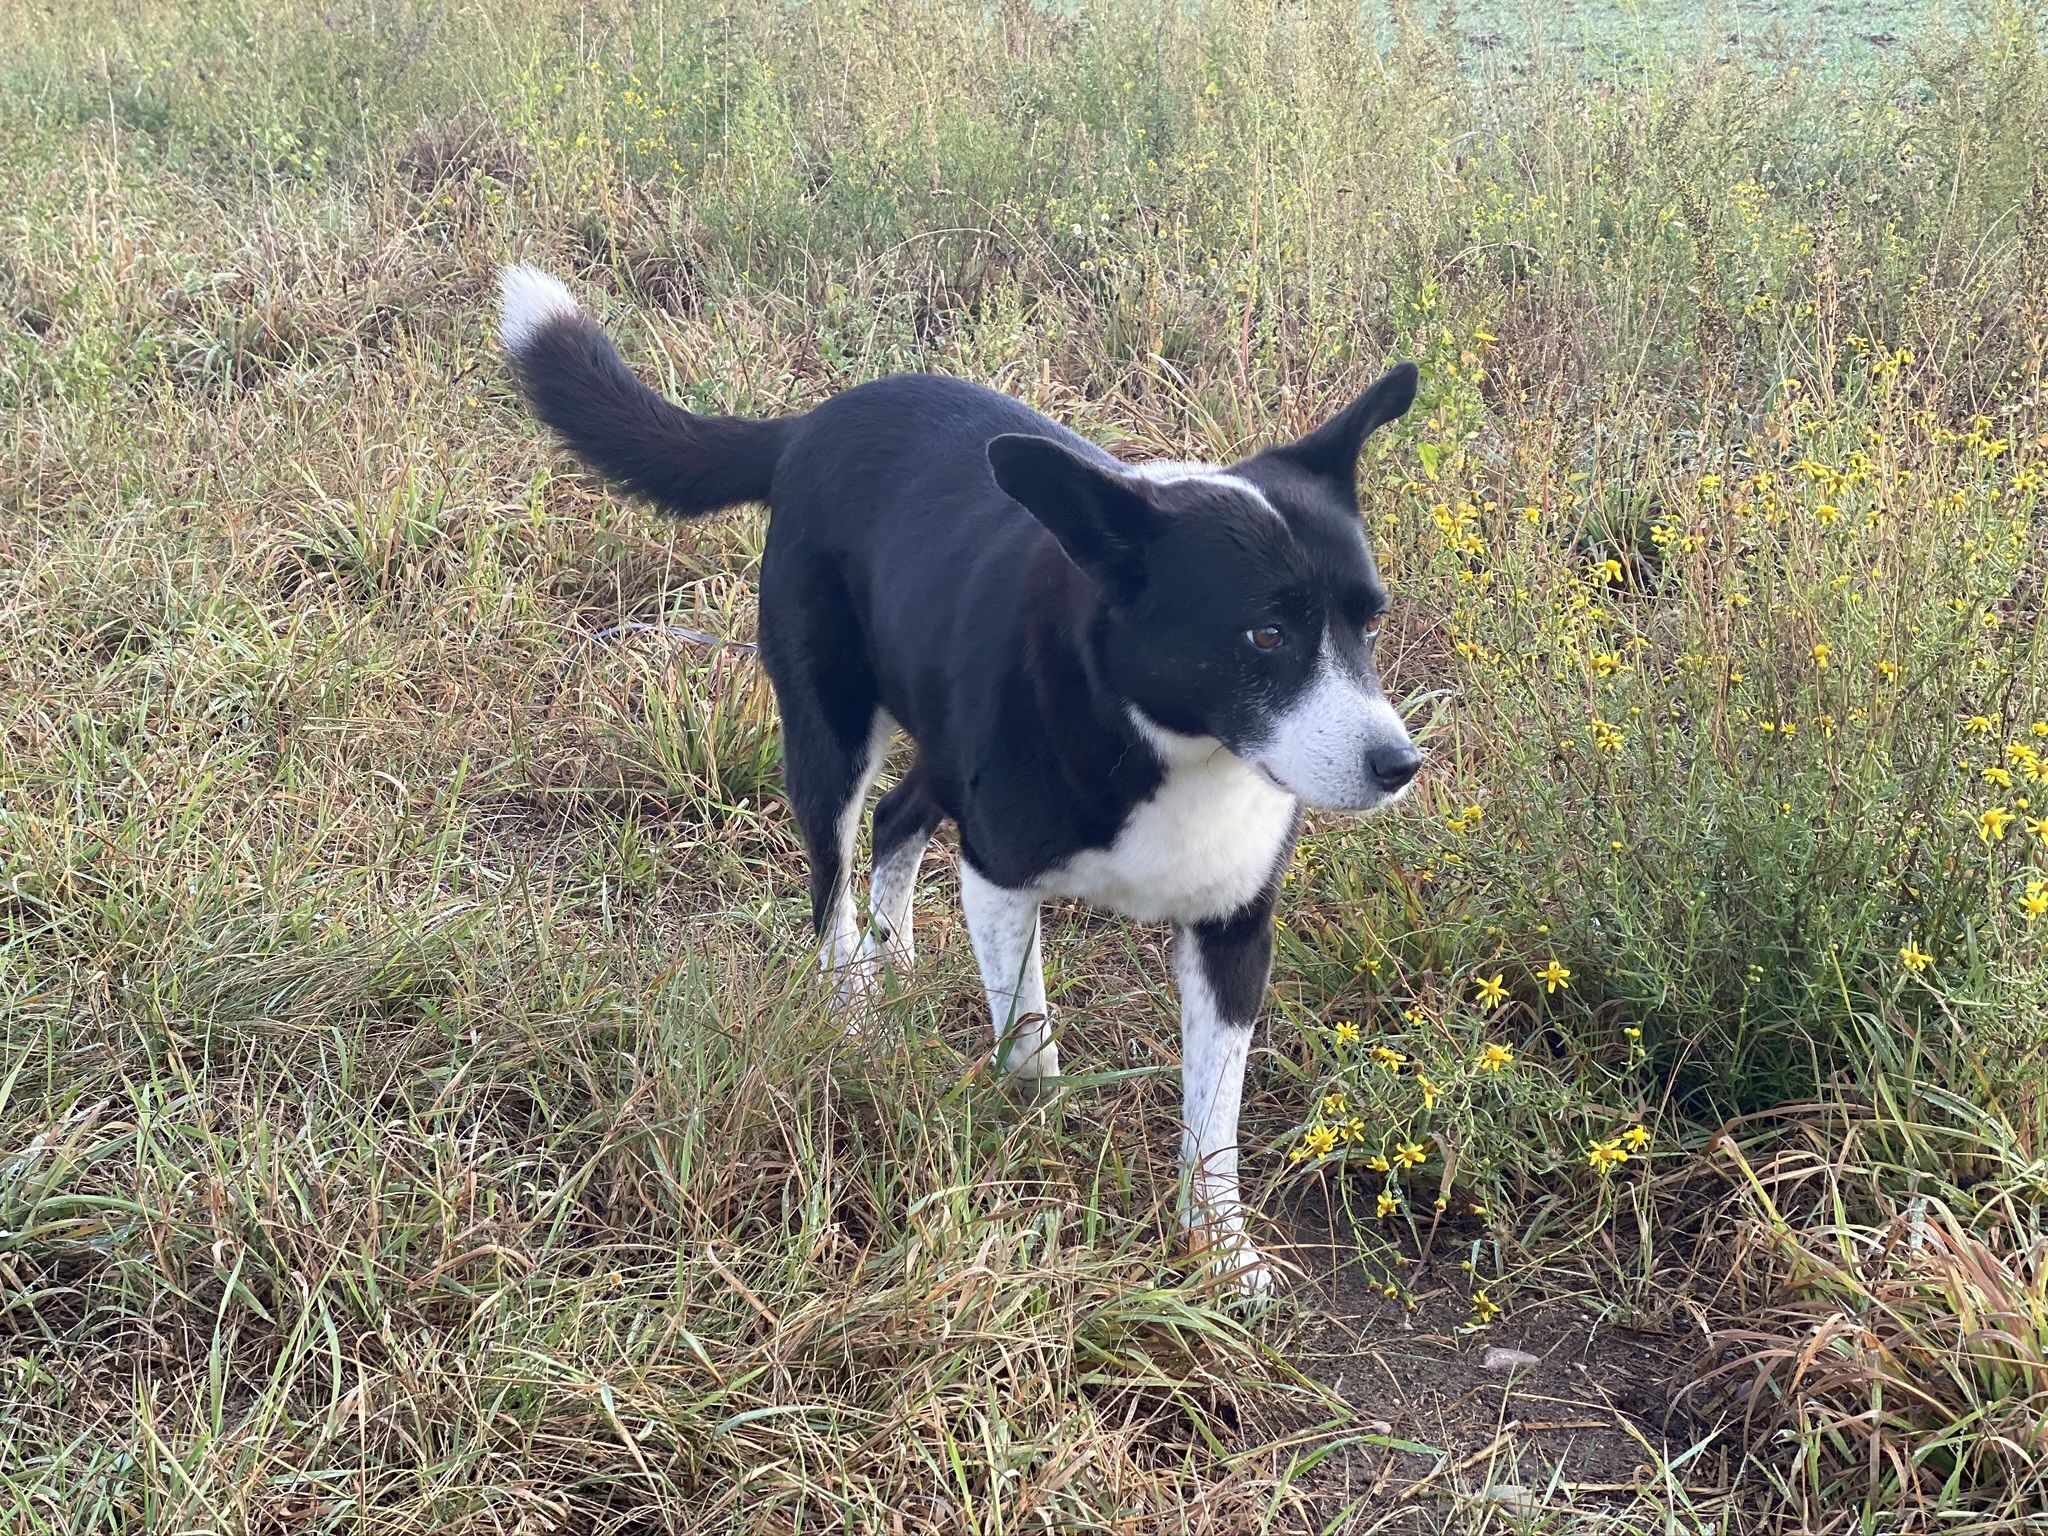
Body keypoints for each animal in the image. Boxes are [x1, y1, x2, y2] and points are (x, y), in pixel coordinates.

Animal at [498, 266, 1421, 1292]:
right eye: (1265, 634)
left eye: (1370, 622)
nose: (1399, 765)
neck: (1170, 744)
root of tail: (808, 423)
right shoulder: (1000, 877)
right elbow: (1030, 1043)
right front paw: (1039, 1155)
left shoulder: (1233, 927)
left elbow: (1212, 1112)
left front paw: (1218, 1248)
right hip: (829, 735)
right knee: (833, 886)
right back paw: (854, 1010)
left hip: (937, 743)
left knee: (899, 817)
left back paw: (893, 956)